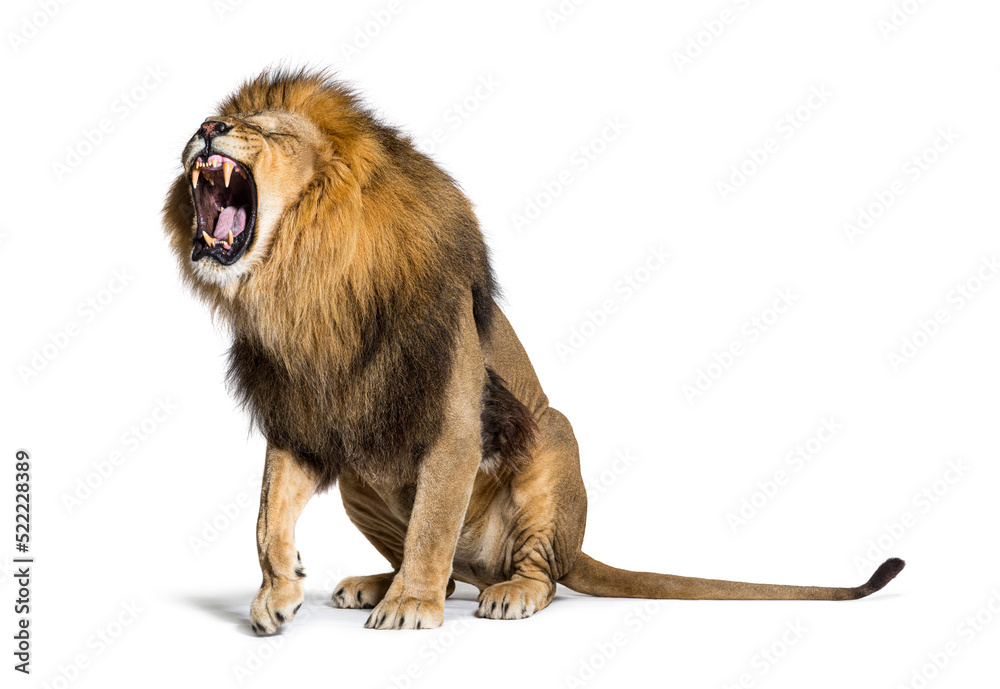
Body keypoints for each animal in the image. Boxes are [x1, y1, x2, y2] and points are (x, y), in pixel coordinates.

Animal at [162, 69, 904, 634]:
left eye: (265, 130)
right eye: (224, 120)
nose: (205, 127)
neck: (305, 277)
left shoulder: (455, 416)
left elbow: (431, 525)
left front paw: (408, 607)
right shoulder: (299, 413)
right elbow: (268, 516)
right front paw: (277, 593)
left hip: (551, 437)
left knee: (528, 570)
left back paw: (501, 592)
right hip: (360, 482)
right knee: (452, 573)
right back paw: (378, 581)